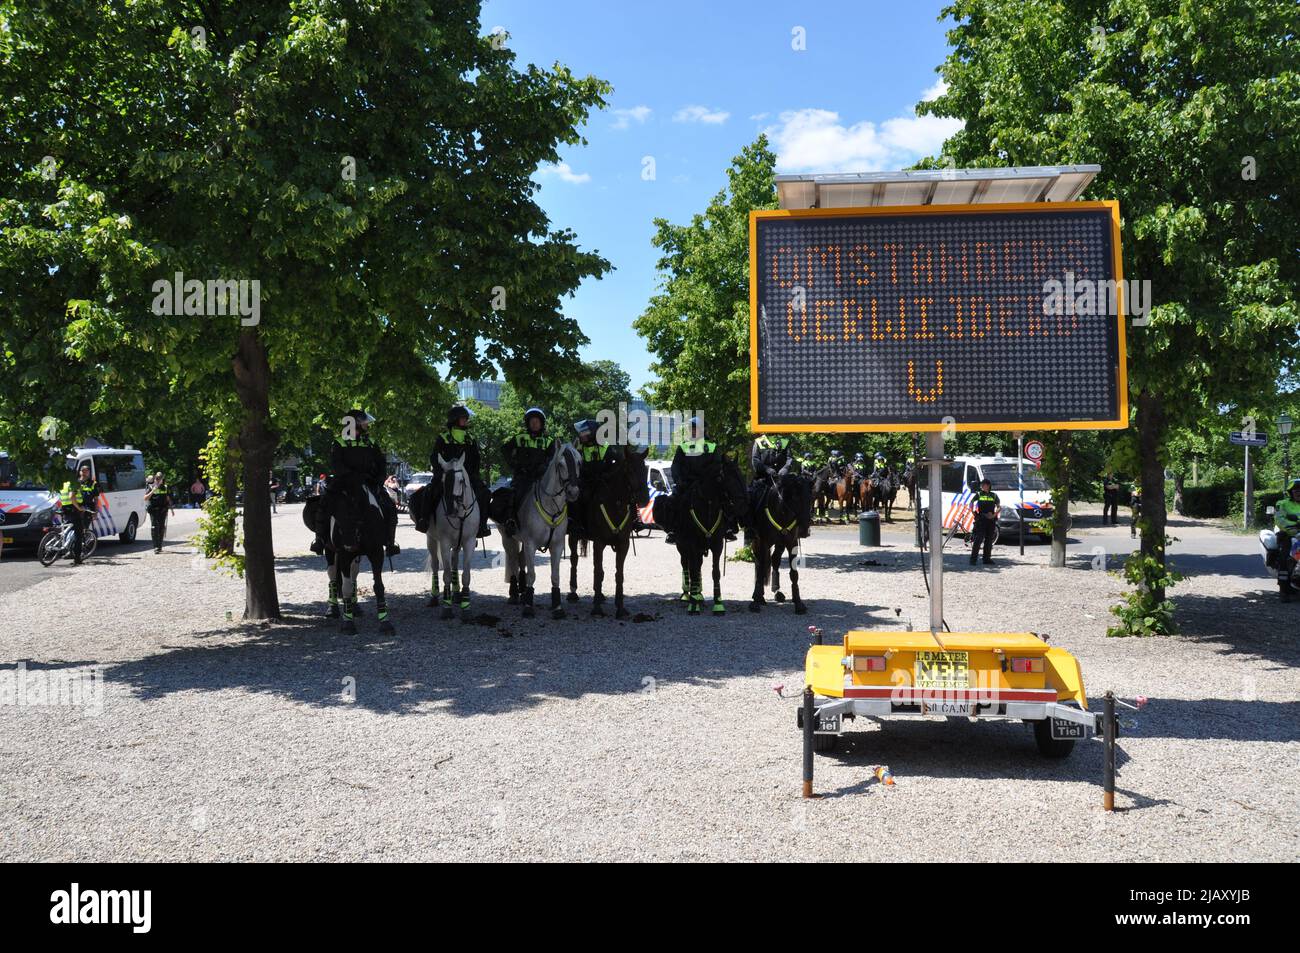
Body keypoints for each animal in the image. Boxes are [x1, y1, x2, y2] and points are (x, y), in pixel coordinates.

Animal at [426, 455, 483, 621]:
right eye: (443, 481)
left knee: (455, 562)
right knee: (435, 565)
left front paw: (466, 607)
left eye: (461, 481)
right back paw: (435, 597)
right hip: (431, 540)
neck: (460, 515)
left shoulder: (469, 542)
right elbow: (445, 574)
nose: (451, 510)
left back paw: (456, 594)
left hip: (457, 545)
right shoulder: (444, 543)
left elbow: (466, 575)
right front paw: (447, 607)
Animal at [496, 444, 579, 621]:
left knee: (520, 560)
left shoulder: (557, 546)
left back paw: (521, 592)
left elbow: (555, 576)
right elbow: (532, 575)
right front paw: (528, 606)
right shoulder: (531, 544)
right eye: (560, 464)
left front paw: (557, 607)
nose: (573, 492)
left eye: (579, 462)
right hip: (508, 538)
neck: (551, 508)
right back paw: (514, 594)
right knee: (513, 560)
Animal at [566, 447, 650, 616]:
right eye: (630, 470)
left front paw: (620, 607)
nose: (644, 498)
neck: (615, 504)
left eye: (645, 470)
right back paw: (573, 592)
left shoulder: (623, 544)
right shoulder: (599, 543)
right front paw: (597, 608)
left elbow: (619, 574)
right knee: (574, 559)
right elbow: (598, 572)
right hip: (573, 535)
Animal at [754, 473, 800, 613]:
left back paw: (776, 590)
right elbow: (761, 567)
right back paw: (759, 596)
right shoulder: (763, 542)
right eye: (794, 496)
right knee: (759, 563)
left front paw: (799, 603)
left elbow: (794, 573)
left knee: (775, 560)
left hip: (780, 544)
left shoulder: (791, 543)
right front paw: (756, 600)